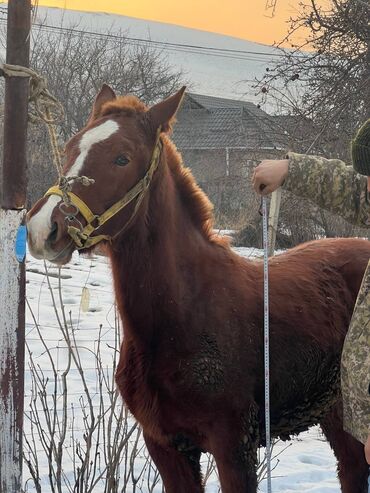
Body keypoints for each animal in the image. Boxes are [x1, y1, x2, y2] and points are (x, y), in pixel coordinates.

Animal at [26, 86, 370, 490]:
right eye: (69, 147)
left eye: (122, 158)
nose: (43, 229)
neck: (187, 310)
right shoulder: (165, 446)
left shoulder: (234, 446)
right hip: (336, 413)